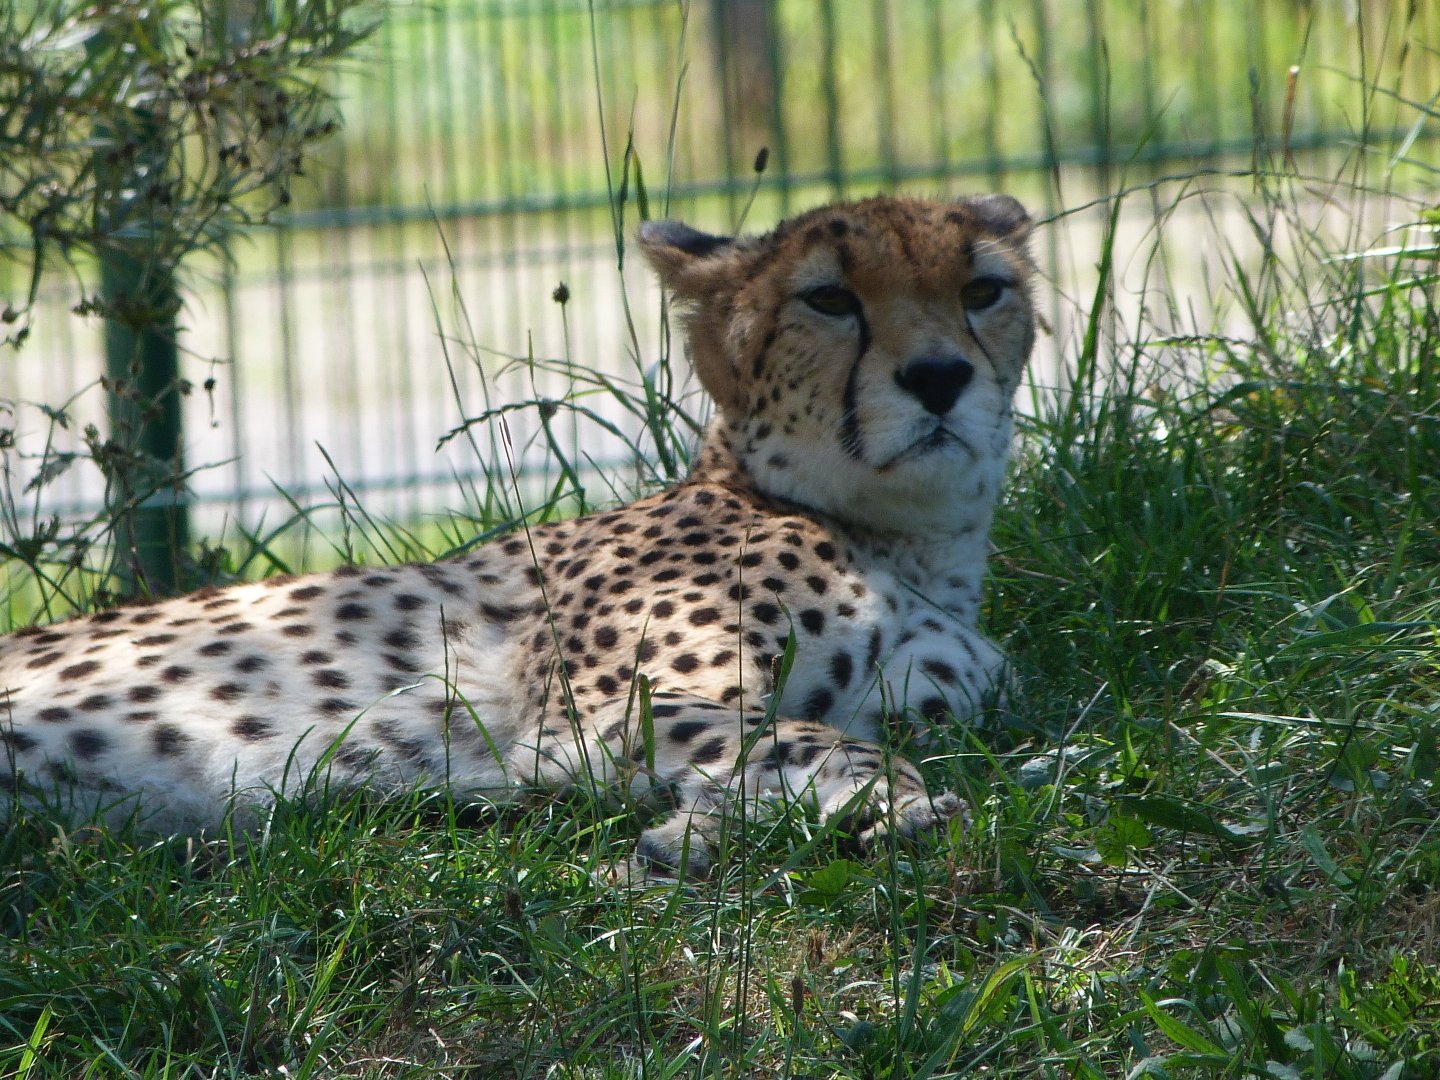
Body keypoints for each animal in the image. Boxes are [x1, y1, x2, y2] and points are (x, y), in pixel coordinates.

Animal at [0, 193, 1036, 876]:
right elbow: (822, 741)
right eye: (829, 299)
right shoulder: (595, 714)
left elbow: (817, 740)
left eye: (983, 289)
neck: (905, 538)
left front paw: (696, 834)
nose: (939, 376)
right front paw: (889, 806)